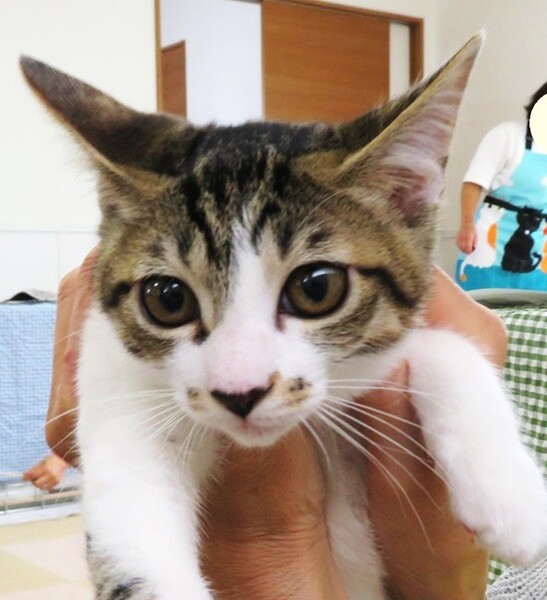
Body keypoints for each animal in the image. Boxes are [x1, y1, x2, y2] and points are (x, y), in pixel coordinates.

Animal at [21, 35, 547, 600]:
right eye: (167, 299)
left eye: (316, 288)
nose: (239, 392)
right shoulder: (116, 378)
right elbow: (132, 525)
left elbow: (441, 347)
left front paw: (509, 496)